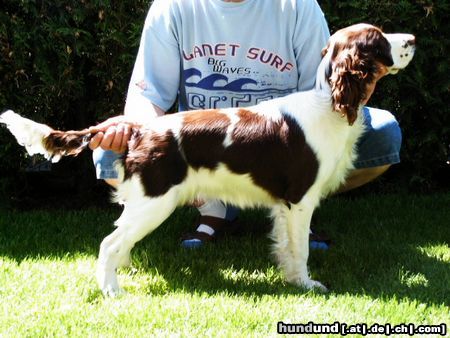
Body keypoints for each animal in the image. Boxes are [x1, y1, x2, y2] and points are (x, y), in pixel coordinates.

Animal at [0, 24, 414, 296]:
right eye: (379, 39)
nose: (412, 39)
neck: (327, 103)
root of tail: (140, 130)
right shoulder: (299, 199)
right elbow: (300, 249)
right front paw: (307, 284)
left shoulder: (284, 206)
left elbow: (285, 246)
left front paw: (292, 279)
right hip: (155, 202)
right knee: (108, 244)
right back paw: (112, 291)